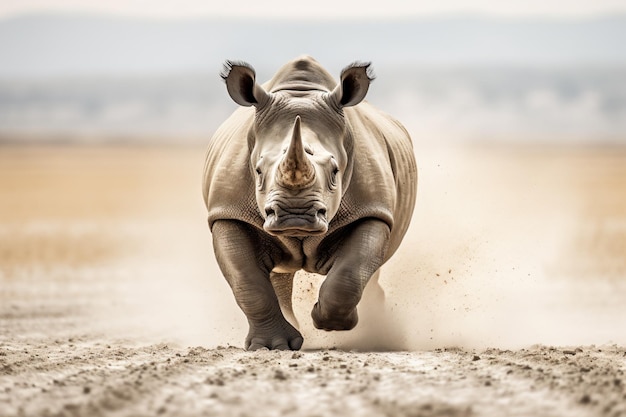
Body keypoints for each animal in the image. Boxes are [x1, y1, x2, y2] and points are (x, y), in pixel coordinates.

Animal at [204, 54, 414, 348]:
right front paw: (272, 346)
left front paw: (331, 323)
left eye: (335, 171)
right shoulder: (227, 212)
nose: (295, 216)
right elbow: (247, 281)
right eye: (258, 171)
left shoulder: (372, 210)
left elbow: (351, 272)